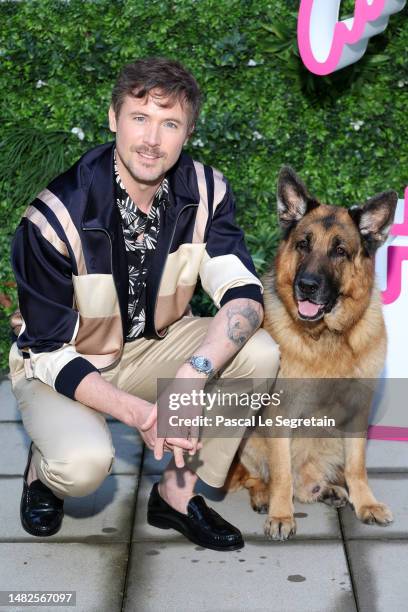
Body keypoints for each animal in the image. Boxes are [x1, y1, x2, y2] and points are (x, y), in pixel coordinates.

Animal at [228, 166, 396, 540]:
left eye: (340, 251)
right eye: (303, 244)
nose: (306, 286)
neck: (326, 336)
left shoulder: (358, 414)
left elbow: (357, 465)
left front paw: (366, 503)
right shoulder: (279, 415)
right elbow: (280, 471)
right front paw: (280, 514)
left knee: (308, 481)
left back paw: (325, 489)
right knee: (256, 476)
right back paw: (265, 495)